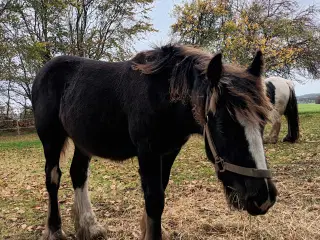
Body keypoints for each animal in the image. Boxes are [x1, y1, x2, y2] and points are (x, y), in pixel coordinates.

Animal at [31, 43, 278, 240]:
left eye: (263, 121)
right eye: (223, 124)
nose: (263, 197)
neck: (162, 95)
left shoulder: (168, 152)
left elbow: (161, 190)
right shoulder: (147, 152)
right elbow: (154, 200)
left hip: (83, 142)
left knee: (78, 174)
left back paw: (89, 227)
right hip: (51, 139)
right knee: (53, 178)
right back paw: (54, 230)